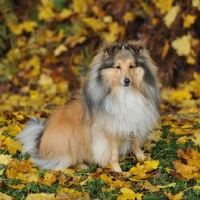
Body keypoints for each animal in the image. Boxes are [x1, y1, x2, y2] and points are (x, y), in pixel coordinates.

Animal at [17, 40, 161, 172]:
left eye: (131, 66)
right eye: (117, 67)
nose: (127, 81)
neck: (124, 93)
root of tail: (39, 144)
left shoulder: (133, 121)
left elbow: (135, 143)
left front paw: (145, 161)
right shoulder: (109, 130)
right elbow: (113, 154)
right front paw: (118, 171)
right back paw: (82, 165)